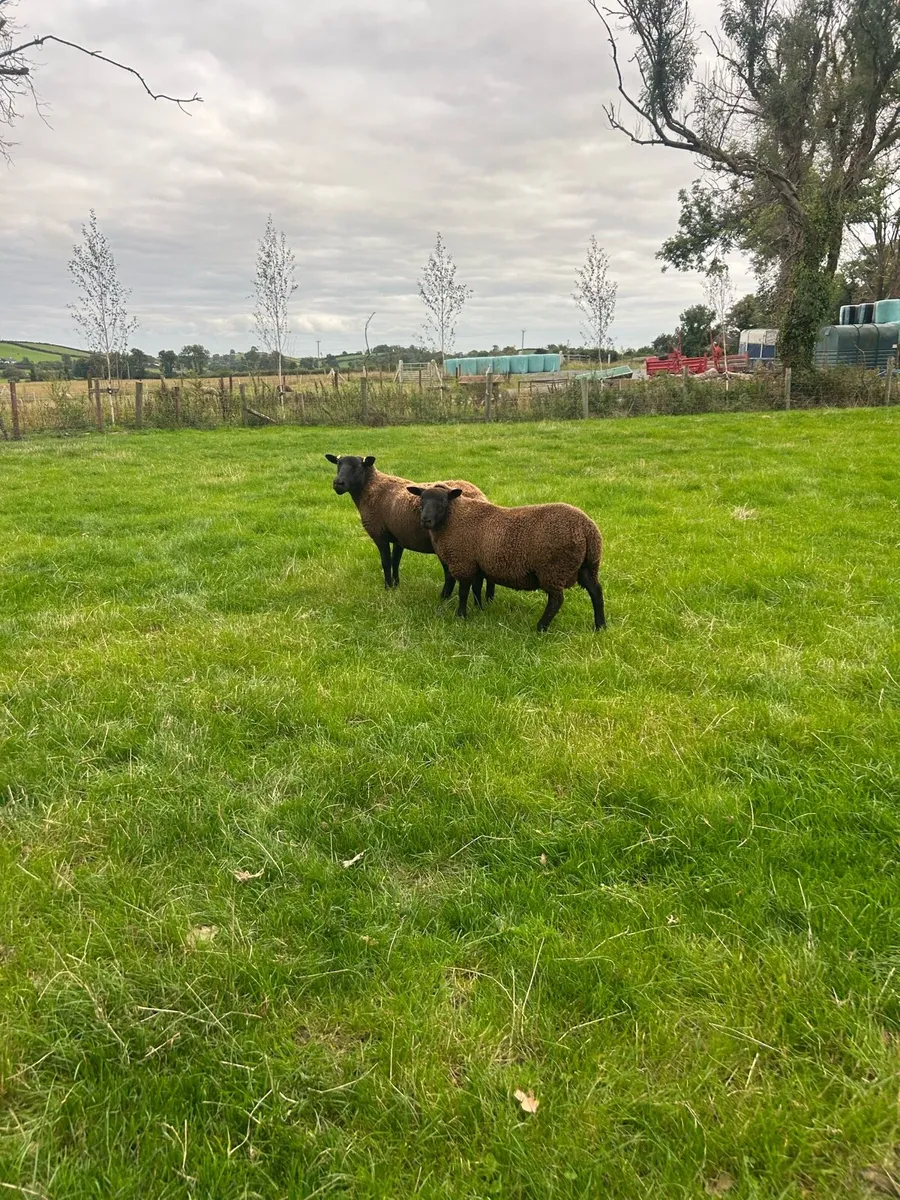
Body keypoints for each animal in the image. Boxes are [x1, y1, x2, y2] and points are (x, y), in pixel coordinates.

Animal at [325, 454, 496, 601]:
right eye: (338, 464)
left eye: (358, 467)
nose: (338, 483)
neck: (370, 488)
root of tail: (481, 497)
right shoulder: (399, 537)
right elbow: (395, 561)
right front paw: (396, 586)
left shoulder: (380, 533)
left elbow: (386, 562)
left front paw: (387, 588)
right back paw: (489, 599)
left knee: (450, 573)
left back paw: (444, 598)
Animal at [406, 486, 605, 632]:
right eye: (421, 500)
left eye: (442, 502)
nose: (425, 520)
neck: (454, 518)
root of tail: (586, 528)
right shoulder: (477, 564)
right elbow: (476, 589)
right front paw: (479, 609)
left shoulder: (463, 563)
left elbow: (463, 592)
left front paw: (461, 615)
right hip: (588, 565)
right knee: (596, 591)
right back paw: (600, 626)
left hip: (553, 569)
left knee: (556, 601)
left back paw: (540, 627)